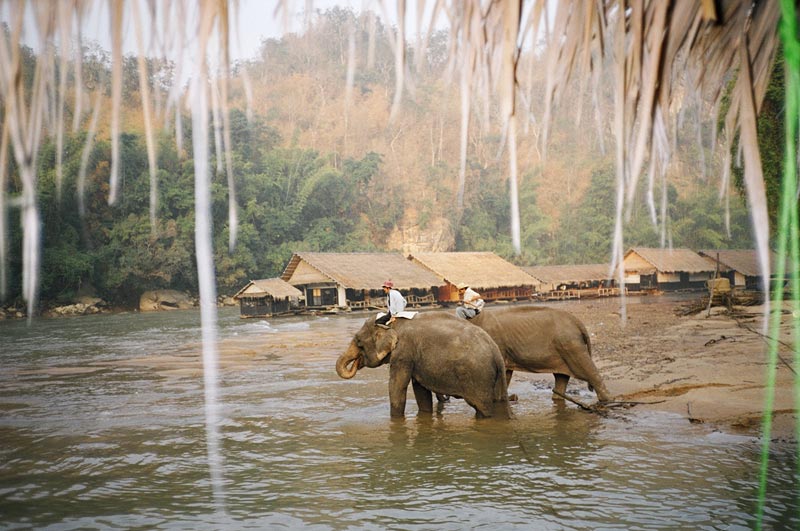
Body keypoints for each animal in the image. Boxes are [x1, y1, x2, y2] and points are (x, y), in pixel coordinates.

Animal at [334, 312, 510, 420]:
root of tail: (496, 353)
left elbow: (397, 387)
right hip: (494, 377)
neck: (392, 323)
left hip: (478, 377)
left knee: (482, 407)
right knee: (498, 402)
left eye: (358, 342)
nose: (356, 362)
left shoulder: (403, 353)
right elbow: (420, 390)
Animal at [468, 306, 612, 402]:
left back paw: (607, 401)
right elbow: (506, 372)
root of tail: (578, 322)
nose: (515, 397)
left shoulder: (497, 343)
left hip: (571, 346)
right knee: (561, 377)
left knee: (588, 371)